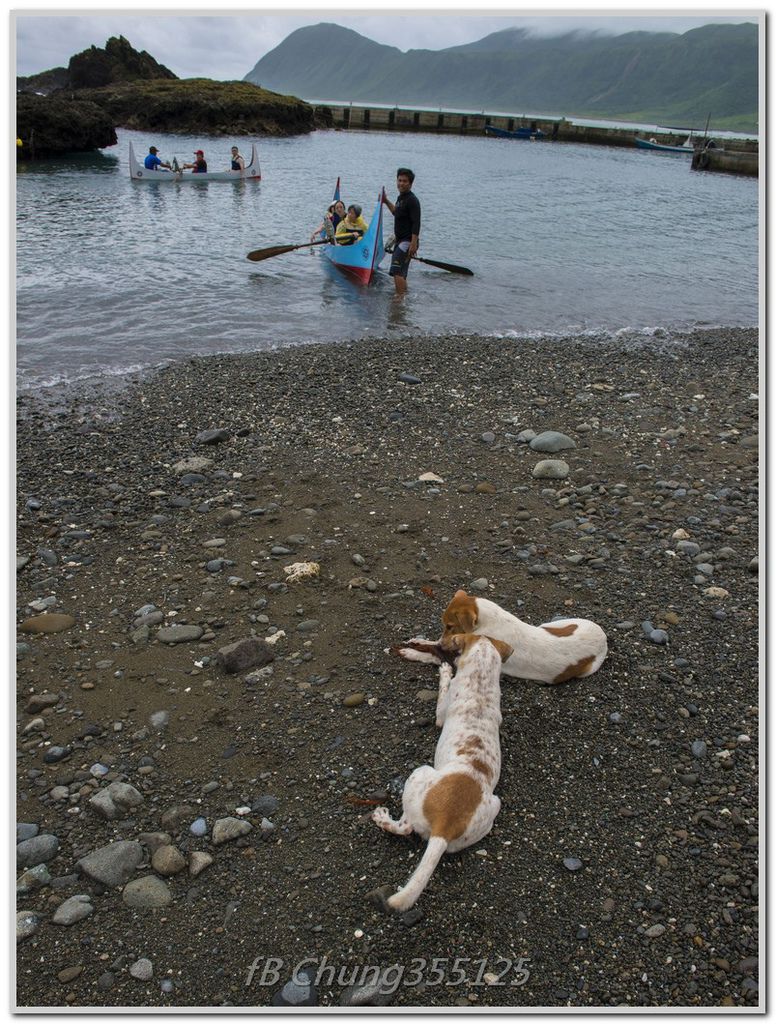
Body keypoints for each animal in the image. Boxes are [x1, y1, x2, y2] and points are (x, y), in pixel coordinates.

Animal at [371, 632, 512, 912]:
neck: (480, 685)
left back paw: (381, 818)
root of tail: (444, 827)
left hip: (419, 773)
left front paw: (445, 671)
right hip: (494, 805)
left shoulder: (440, 712)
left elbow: (442, 693)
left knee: (405, 828)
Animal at [440, 589, 607, 685]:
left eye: (449, 626)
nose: (440, 644)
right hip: (556, 623)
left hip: (588, 670)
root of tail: (603, 637)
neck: (490, 620)